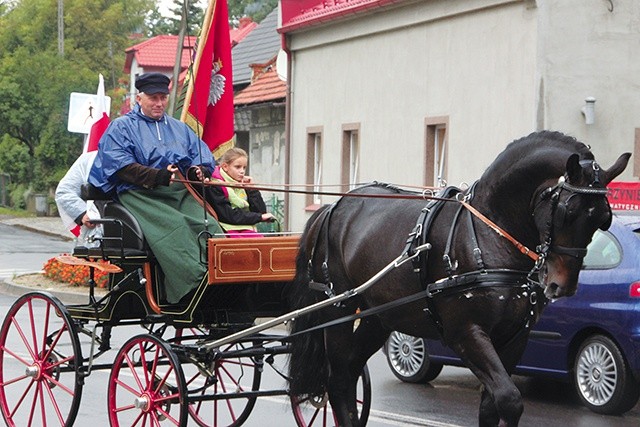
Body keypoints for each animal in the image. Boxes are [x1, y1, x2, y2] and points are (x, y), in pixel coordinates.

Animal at [286, 131, 632, 427]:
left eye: (603, 219)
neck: (489, 233)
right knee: (337, 379)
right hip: (338, 309)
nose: (562, 285)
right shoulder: (466, 334)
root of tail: (333, 206)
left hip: (379, 317)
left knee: (350, 372)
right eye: (567, 213)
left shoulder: (515, 337)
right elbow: (509, 399)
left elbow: (492, 405)